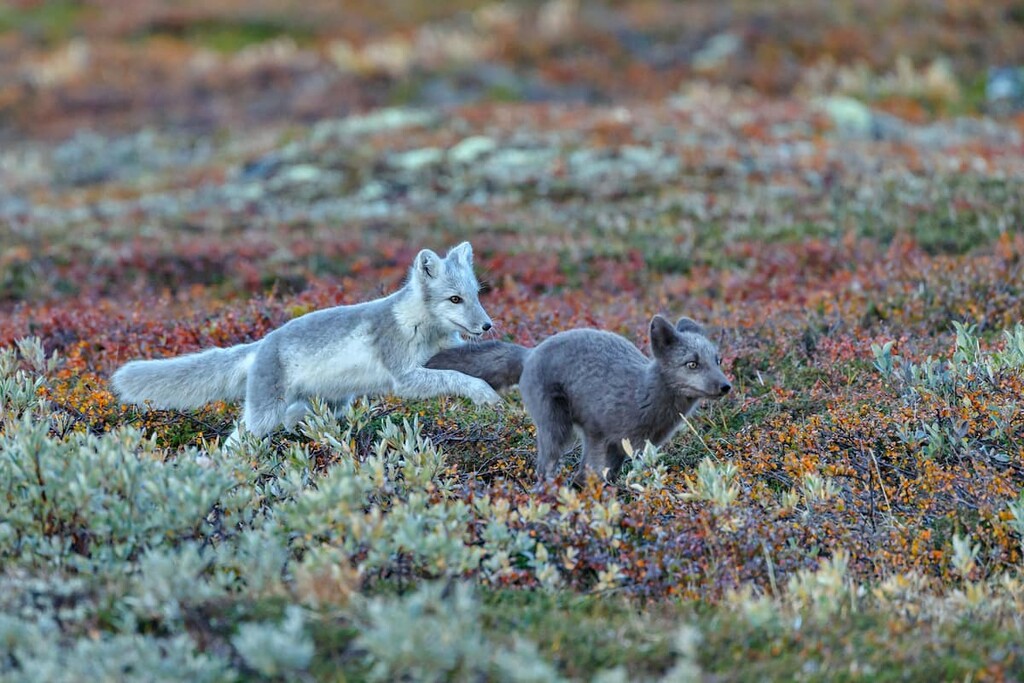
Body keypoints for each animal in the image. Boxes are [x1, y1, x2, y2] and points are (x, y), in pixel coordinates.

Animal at [112, 242, 501, 441]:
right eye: (454, 299)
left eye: (476, 295)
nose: (487, 325)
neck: (422, 328)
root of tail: (260, 345)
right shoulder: (403, 375)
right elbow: (455, 378)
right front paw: (484, 394)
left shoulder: (446, 350)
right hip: (264, 414)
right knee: (239, 437)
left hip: (331, 402)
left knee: (294, 417)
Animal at [425, 315, 731, 483]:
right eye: (692, 364)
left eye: (717, 361)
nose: (726, 386)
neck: (642, 394)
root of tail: (531, 352)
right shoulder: (603, 437)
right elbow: (595, 474)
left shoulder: (631, 446)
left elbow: (605, 474)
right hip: (558, 430)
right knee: (545, 468)